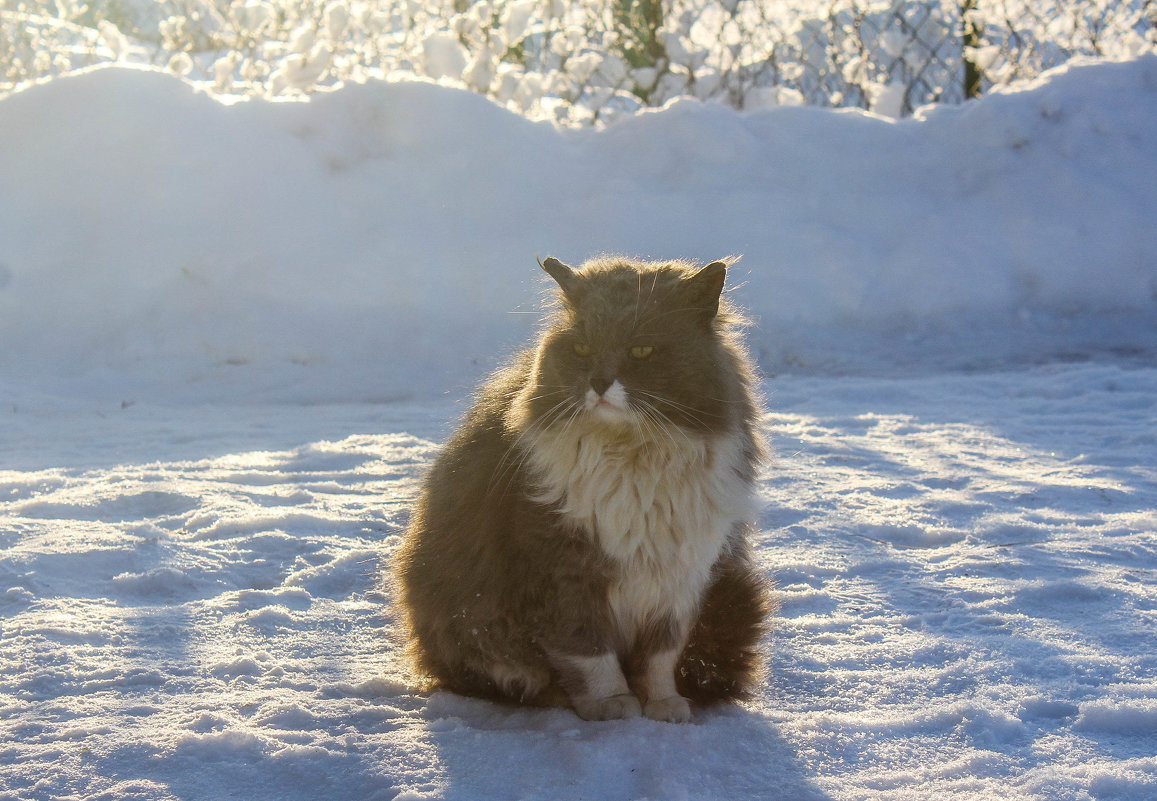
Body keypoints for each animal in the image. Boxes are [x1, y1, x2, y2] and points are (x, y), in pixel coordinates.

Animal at [393, 256, 772, 726]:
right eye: (582, 348)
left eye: (641, 350)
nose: (600, 382)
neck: (632, 459)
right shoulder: (561, 565)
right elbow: (588, 651)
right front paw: (612, 704)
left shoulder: (679, 579)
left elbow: (660, 658)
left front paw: (663, 706)